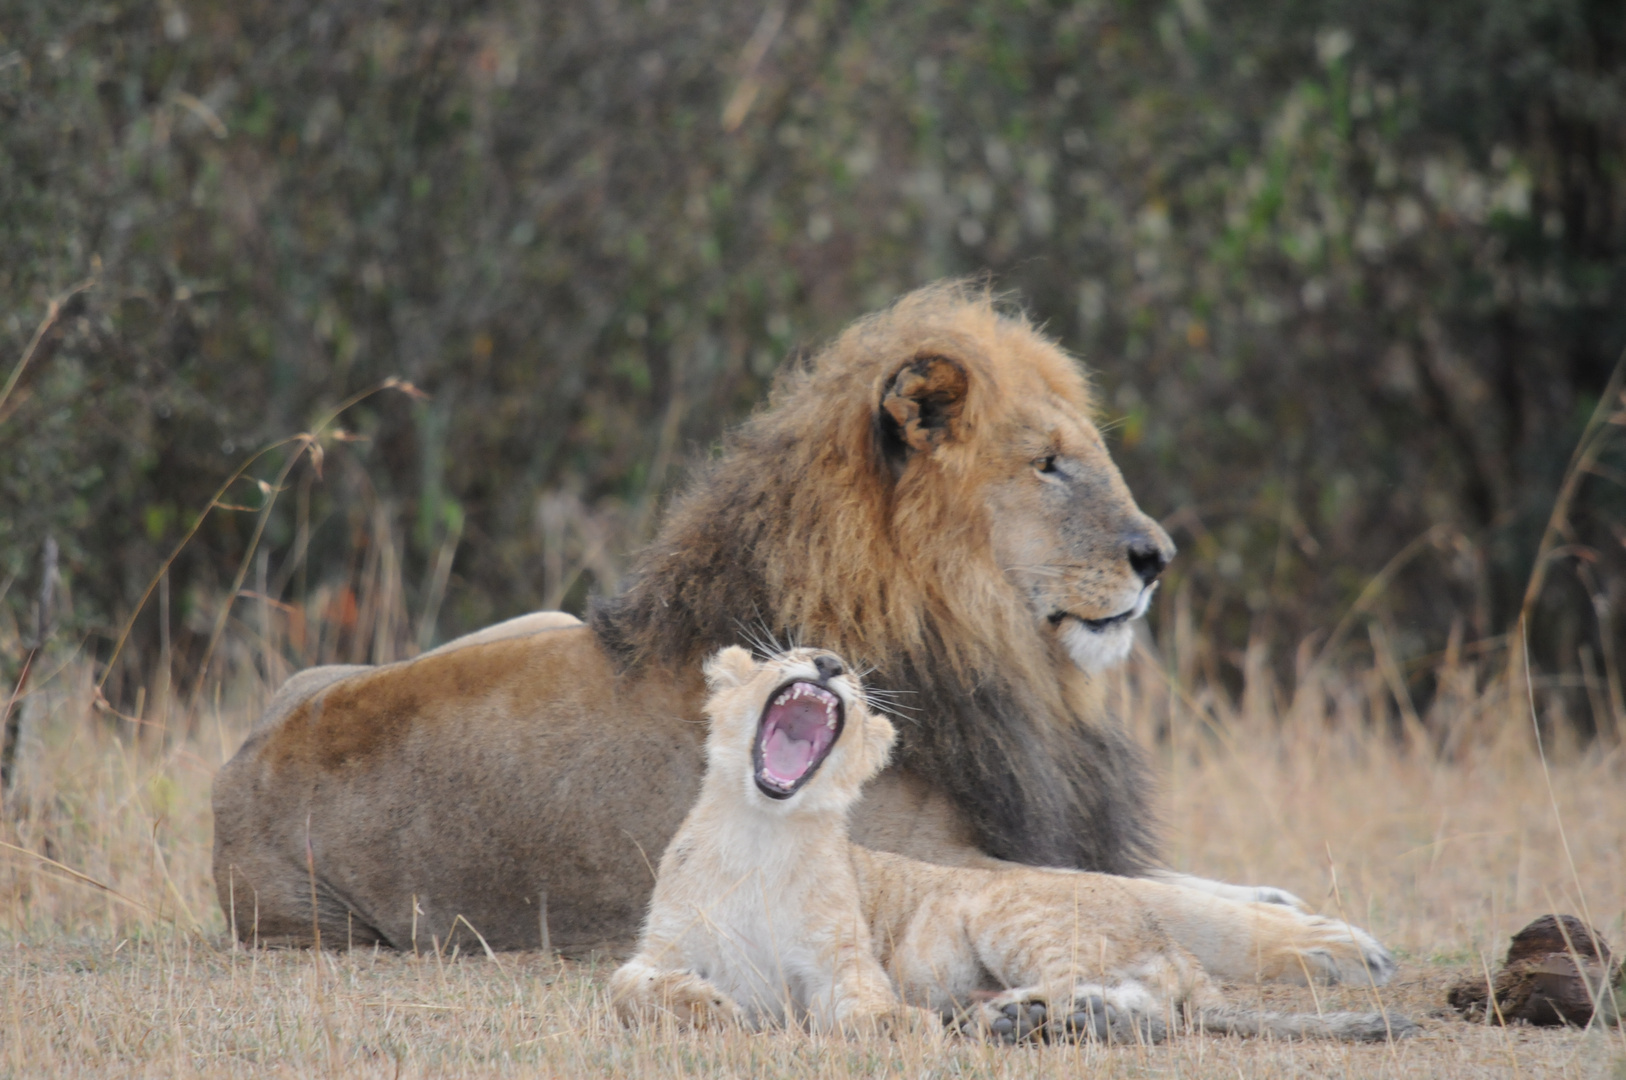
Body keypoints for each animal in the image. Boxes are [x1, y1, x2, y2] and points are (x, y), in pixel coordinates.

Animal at [216, 284, 1307, 956]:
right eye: (1048, 464)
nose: (1158, 557)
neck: (987, 649)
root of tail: (237, 765)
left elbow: (1159, 878)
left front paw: (1276, 895)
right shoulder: (917, 871)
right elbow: (1124, 893)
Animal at [611, 644, 1411, 1040]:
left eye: (856, 681)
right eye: (786, 657)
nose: (830, 664)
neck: (762, 833)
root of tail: (1170, 941)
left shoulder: (842, 962)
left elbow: (863, 1000)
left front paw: (895, 1024)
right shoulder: (660, 948)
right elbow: (626, 986)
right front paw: (702, 1005)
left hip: (1011, 914)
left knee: (1141, 999)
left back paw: (1019, 1015)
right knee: (1152, 1009)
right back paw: (1040, 1018)